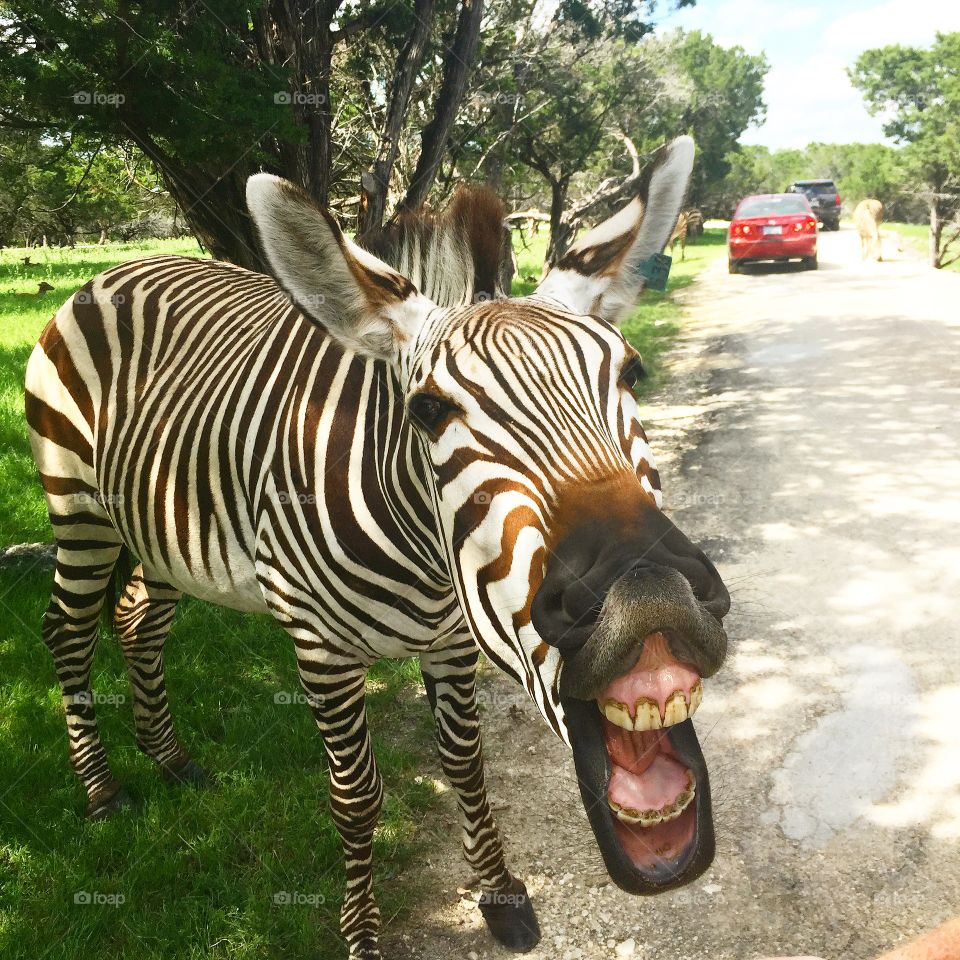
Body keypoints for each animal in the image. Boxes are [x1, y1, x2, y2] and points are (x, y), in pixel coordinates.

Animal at [26, 137, 732, 960]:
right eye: (426, 410)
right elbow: (357, 796)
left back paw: (172, 760)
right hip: (79, 509)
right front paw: (360, 933)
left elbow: (465, 763)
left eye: (631, 372)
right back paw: (102, 790)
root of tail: (121, 268)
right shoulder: (319, 646)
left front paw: (500, 894)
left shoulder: (454, 640)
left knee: (138, 621)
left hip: (163, 531)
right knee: (67, 632)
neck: (428, 568)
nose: (649, 592)